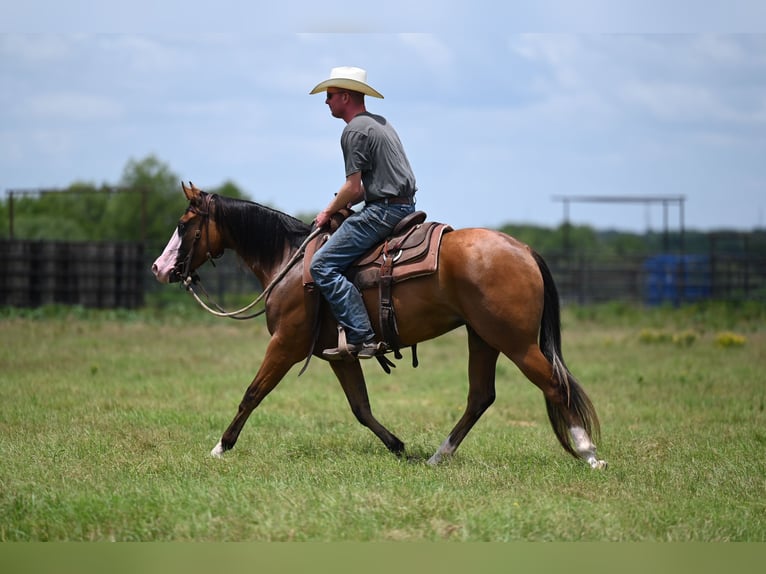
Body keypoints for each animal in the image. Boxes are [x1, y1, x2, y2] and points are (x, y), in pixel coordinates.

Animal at [152, 182, 608, 470]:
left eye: (183, 224)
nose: (159, 268)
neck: (291, 263)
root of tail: (524, 248)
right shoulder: (338, 355)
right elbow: (361, 407)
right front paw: (398, 446)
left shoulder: (286, 345)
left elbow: (251, 393)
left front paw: (220, 447)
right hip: (483, 337)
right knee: (481, 397)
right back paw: (437, 456)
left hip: (514, 341)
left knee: (553, 385)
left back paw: (589, 453)